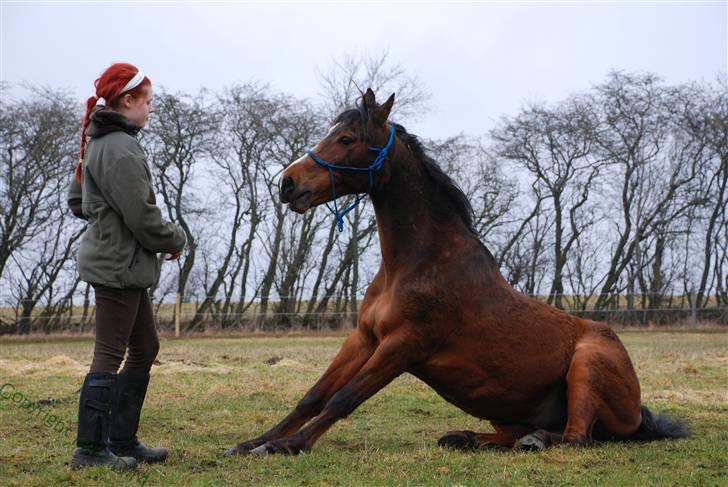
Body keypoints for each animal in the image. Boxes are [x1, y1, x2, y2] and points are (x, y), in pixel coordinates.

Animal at [228, 88, 688, 458]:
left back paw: (534, 441)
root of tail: (639, 415)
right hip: (504, 409)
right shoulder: (364, 339)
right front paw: (249, 443)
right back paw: (466, 437)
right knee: (514, 435)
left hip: (587, 367)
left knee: (576, 437)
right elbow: (313, 396)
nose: (288, 183)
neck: (415, 264)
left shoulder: (404, 345)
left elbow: (344, 398)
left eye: (347, 139)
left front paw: (285, 446)